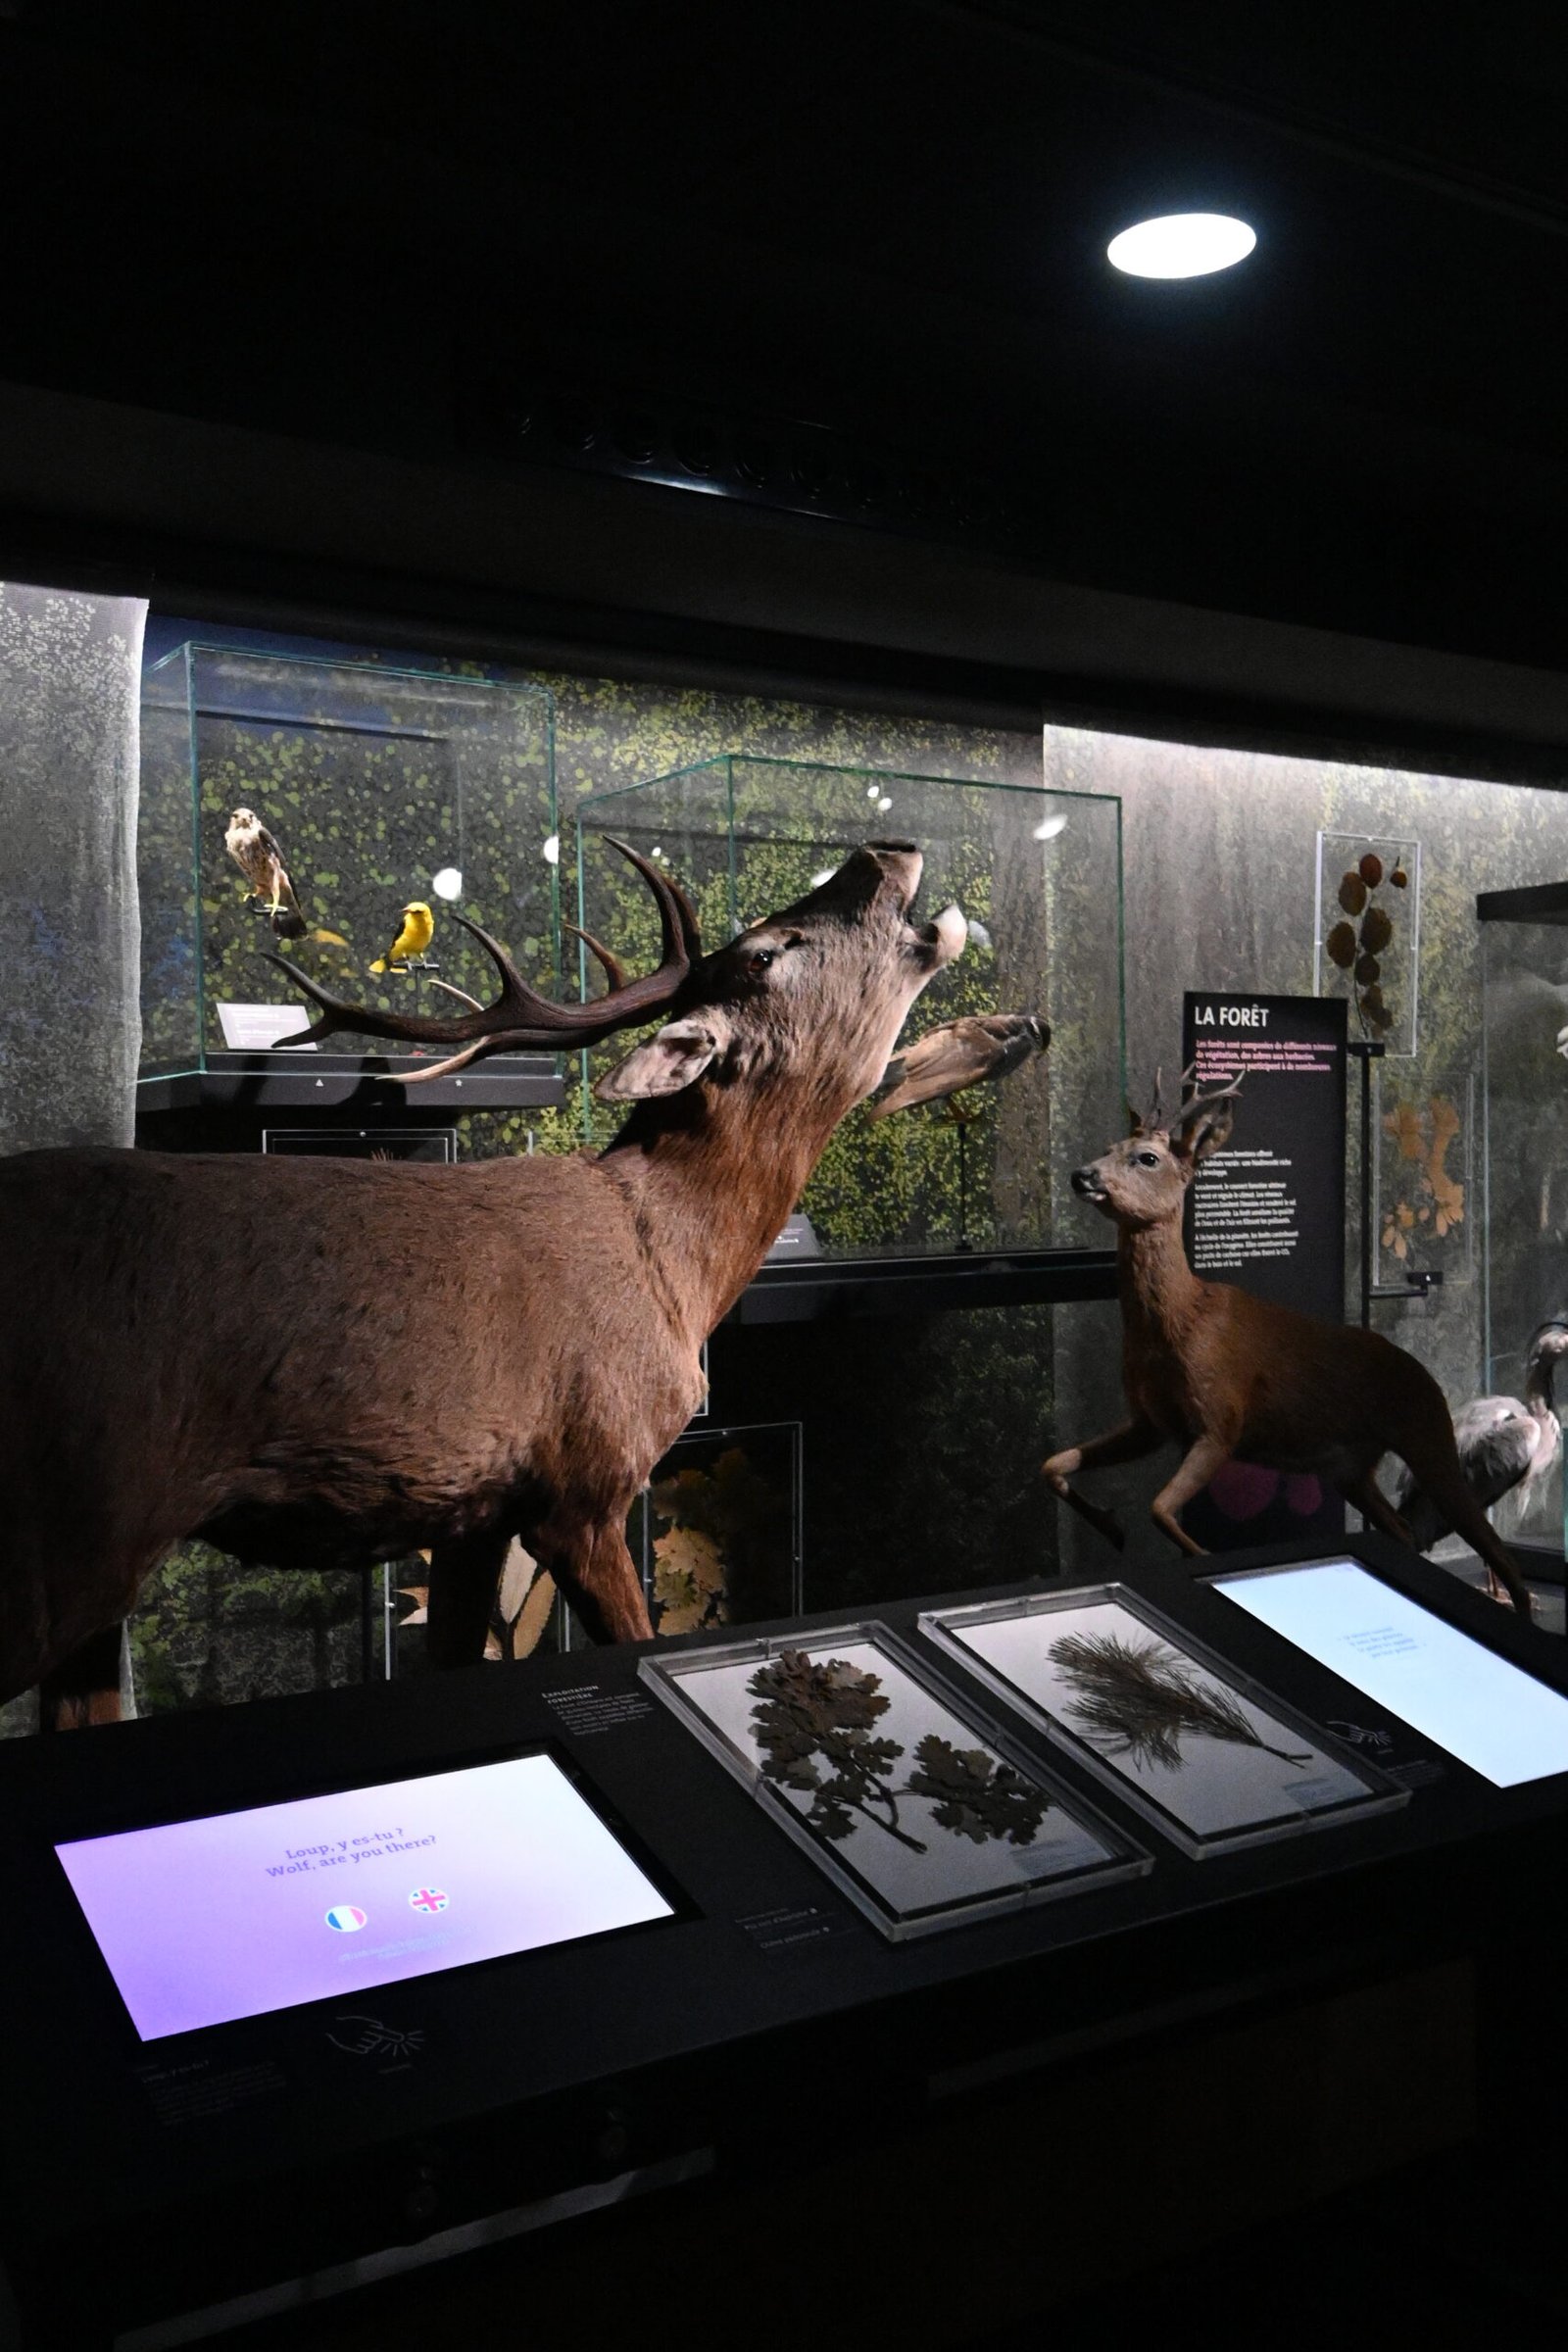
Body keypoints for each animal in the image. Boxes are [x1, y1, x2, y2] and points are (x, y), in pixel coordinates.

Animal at [3, 837, 968, 1721]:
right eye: (768, 951)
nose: (881, 850)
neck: (675, 1271)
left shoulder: (473, 1511)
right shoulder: (585, 1484)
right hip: (76, 1519)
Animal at [1044, 1067, 1533, 1618]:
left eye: (1146, 1157)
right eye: (1108, 1146)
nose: (1082, 1175)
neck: (1179, 1323)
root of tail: (1424, 1373)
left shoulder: (1220, 1420)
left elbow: (1160, 1509)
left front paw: (1203, 1558)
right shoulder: (1150, 1423)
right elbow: (1053, 1465)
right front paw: (1112, 1526)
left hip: (1428, 1436)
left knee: (1499, 1553)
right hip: (1352, 1469)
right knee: (1406, 1532)